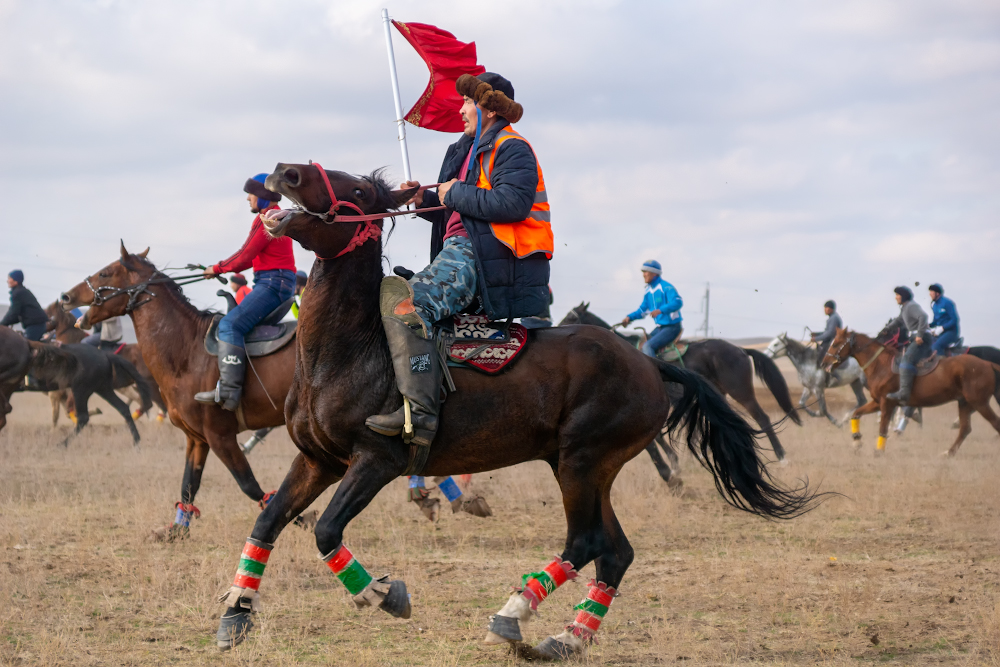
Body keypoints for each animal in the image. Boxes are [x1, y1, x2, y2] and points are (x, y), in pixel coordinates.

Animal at [59, 248, 298, 540]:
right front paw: (176, 530)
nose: (65, 297)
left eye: (105, 272)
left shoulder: (220, 436)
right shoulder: (197, 438)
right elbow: (188, 485)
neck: (188, 350)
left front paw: (299, 519)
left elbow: (249, 485)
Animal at [207, 166, 816, 656]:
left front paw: (383, 593)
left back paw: (512, 614)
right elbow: (268, 519)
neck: (353, 348)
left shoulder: (376, 461)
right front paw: (235, 614)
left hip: (581, 462)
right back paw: (566, 640)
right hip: (591, 469)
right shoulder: (318, 460)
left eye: (355, 188)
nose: (284, 172)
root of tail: (647, 363)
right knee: (615, 552)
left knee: (586, 542)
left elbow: (327, 529)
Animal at [820, 326, 1000, 456]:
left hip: (979, 403)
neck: (881, 365)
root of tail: (988, 364)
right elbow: (856, 413)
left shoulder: (887, 403)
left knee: (994, 423)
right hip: (964, 403)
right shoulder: (877, 403)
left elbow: (883, 428)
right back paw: (948, 453)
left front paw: (879, 451)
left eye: (835, 343)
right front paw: (857, 441)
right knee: (965, 429)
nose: (823, 363)